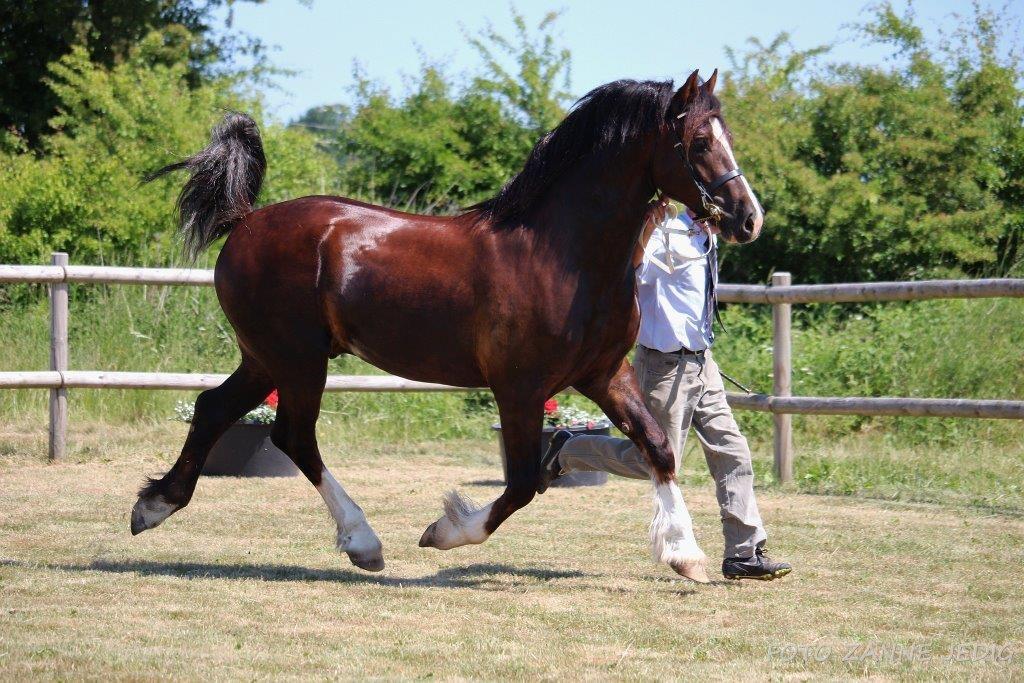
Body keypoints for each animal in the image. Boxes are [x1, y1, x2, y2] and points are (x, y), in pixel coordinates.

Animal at [134, 69, 761, 581]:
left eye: (727, 133)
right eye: (698, 142)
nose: (748, 219)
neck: (563, 255)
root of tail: (245, 221)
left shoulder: (603, 374)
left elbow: (658, 447)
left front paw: (686, 554)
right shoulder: (519, 388)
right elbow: (522, 483)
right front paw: (445, 532)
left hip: (267, 358)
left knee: (215, 408)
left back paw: (154, 505)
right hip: (298, 360)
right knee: (292, 436)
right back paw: (363, 542)